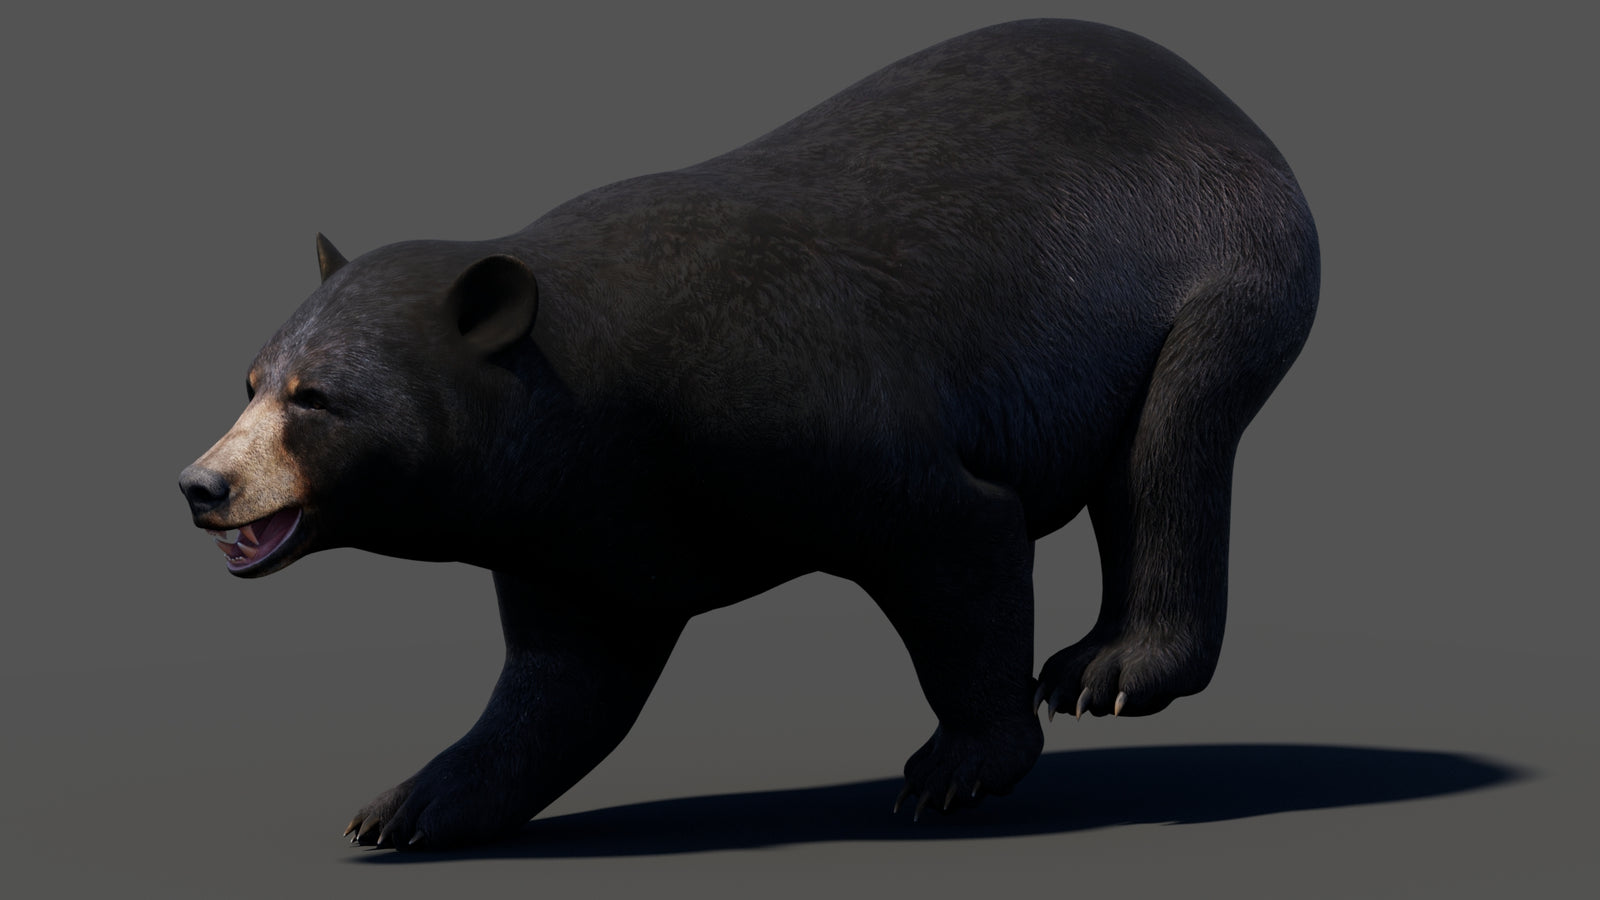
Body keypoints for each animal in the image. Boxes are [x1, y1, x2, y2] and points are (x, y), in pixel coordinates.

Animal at [179, 19, 1318, 850]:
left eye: (315, 398)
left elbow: (957, 533)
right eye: (250, 380)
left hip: (1224, 259)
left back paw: (1109, 670)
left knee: (1169, 447)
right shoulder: (580, 529)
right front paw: (408, 804)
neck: (593, 400)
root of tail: (1221, 97)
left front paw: (956, 764)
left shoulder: (792, 407)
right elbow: (565, 679)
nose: (201, 485)